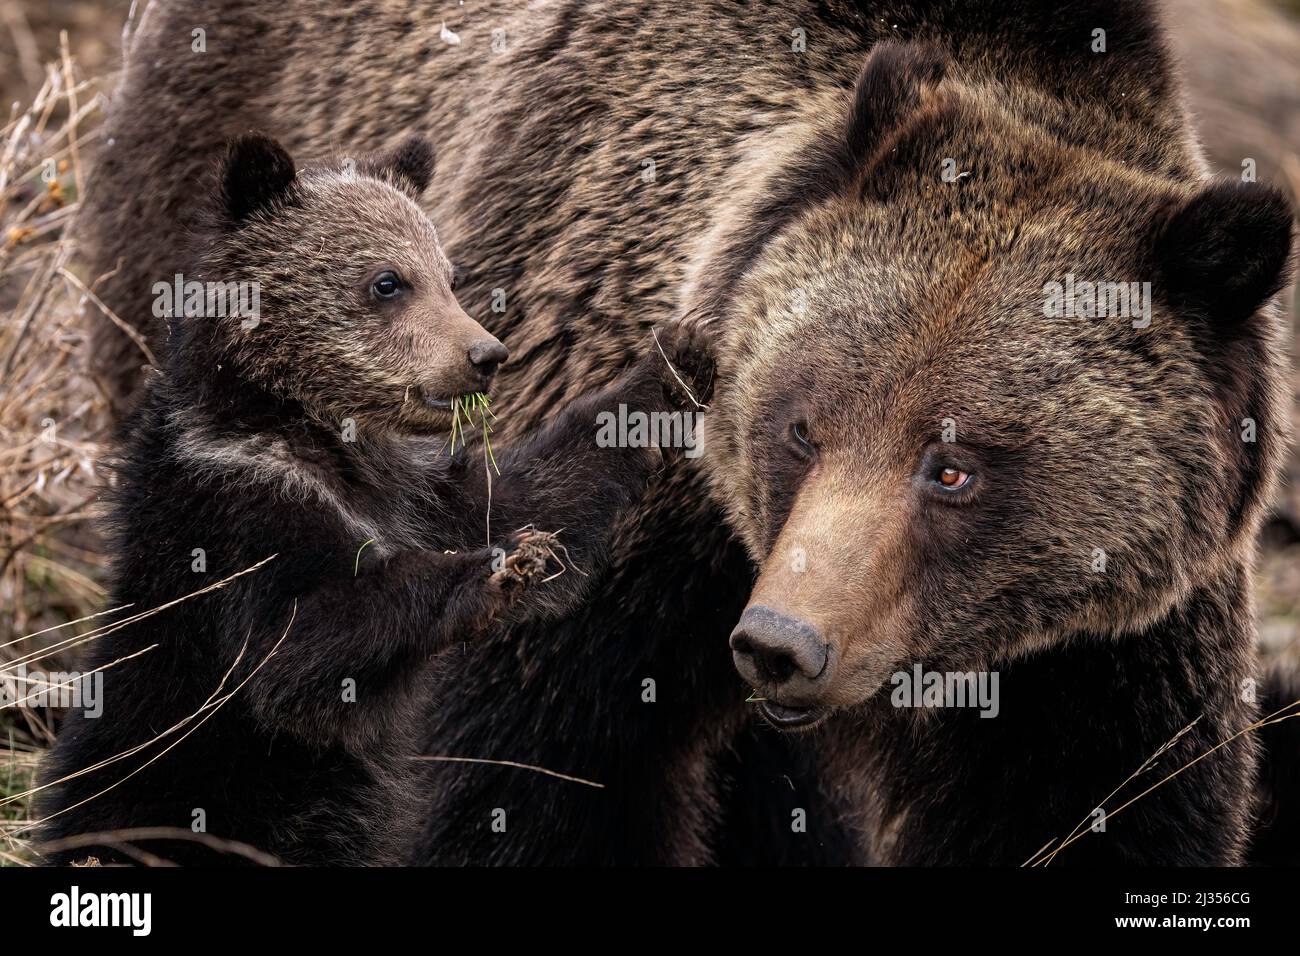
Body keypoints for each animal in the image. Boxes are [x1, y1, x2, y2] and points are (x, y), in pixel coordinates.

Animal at [35, 132, 700, 865]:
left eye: (448, 274)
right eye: (388, 281)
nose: (485, 355)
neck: (314, 432)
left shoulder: (416, 493)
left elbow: (530, 491)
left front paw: (669, 366)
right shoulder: (238, 512)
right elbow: (303, 648)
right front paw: (497, 570)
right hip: (170, 778)